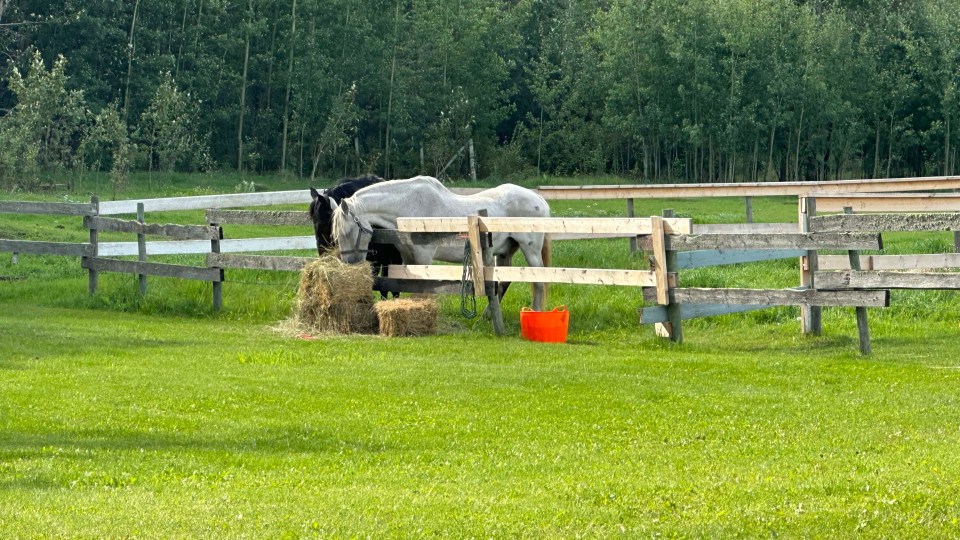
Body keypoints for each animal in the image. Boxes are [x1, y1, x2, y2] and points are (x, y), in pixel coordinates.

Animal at [332, 175, 551, 311]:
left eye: (347, 232)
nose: (349, 265)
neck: (409, 208)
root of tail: (539, 199)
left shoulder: (423, 258)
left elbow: (422, 288)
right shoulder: (407, 257)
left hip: (530, 250)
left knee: (538, 280)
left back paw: (535, 312)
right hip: (505, 251)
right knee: (503, 281)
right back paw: (487, 316)